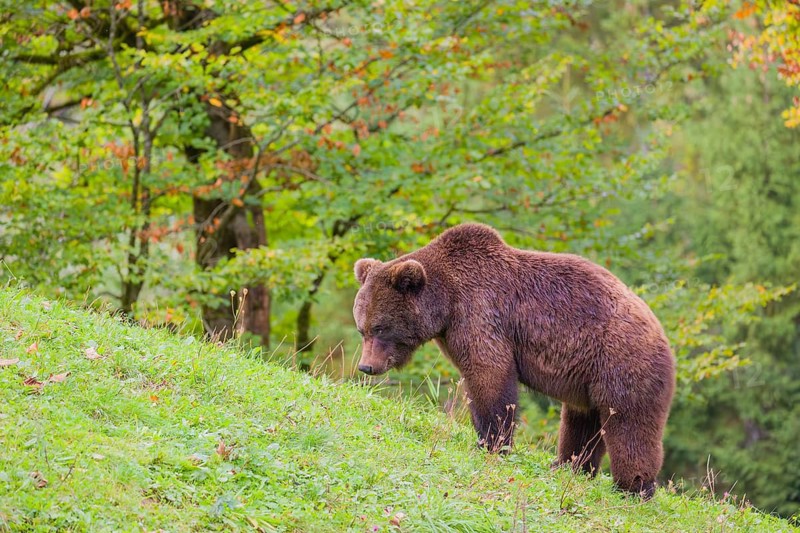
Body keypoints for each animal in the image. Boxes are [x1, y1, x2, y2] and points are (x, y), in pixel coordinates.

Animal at [352, 223, 675, 499]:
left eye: (380, 327)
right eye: (362, 328)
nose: (367, 366)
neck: (446, 302)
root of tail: (660, 332)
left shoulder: (480, 312)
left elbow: (490, 374)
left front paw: (492, 442)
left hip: (620, 362)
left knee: (629, 423)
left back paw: (634, 487)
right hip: (588, 378)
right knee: (583, 420)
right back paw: (567, 465)